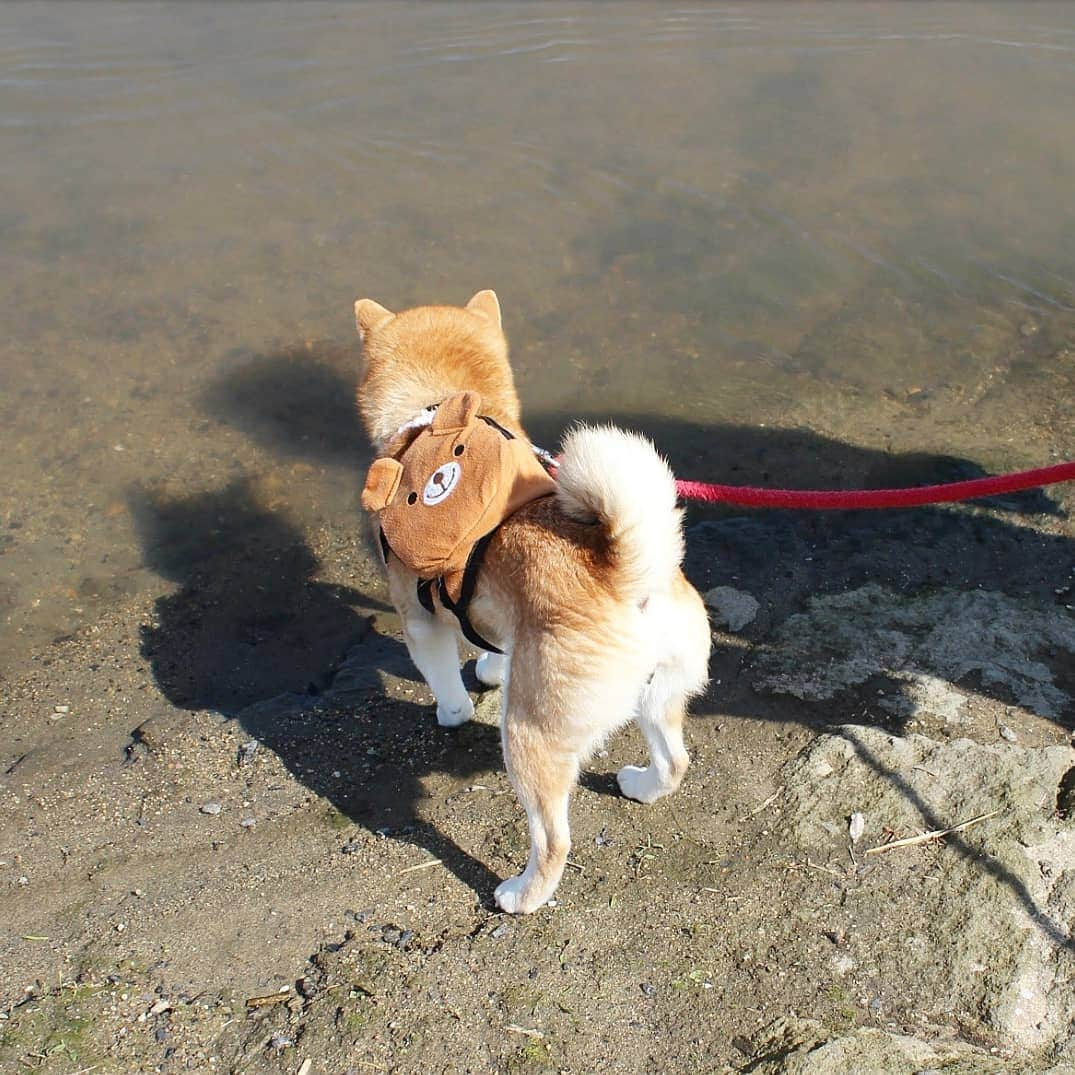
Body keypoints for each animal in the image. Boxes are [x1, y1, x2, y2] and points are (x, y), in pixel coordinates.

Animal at [354, 290, 713, 911]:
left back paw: (522, 895)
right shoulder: (489, 612)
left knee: (553, 839)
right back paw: (642, 785)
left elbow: (444, 679)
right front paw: (490, 667)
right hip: (658, 695)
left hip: (528, 736)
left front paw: (452, 710)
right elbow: (489, 644)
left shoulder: (419, 619)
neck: (438, 408)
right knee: (675, 762)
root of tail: (626, 577)